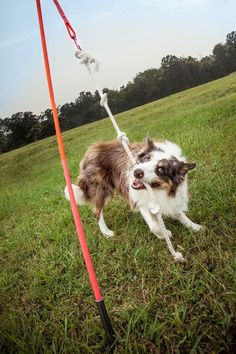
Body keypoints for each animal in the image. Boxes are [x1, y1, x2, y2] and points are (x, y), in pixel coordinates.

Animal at [64, 138, 201, 238]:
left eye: (161, 169)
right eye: (146, 159)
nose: (137, 172)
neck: (157, 190)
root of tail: (90, 150)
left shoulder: (170, 198)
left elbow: (179, 213)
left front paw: (194, 226)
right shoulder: (140, 201)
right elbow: (154, 226)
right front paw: (165, 234)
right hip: (101, 189)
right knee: (97, 212)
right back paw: (106, 232)